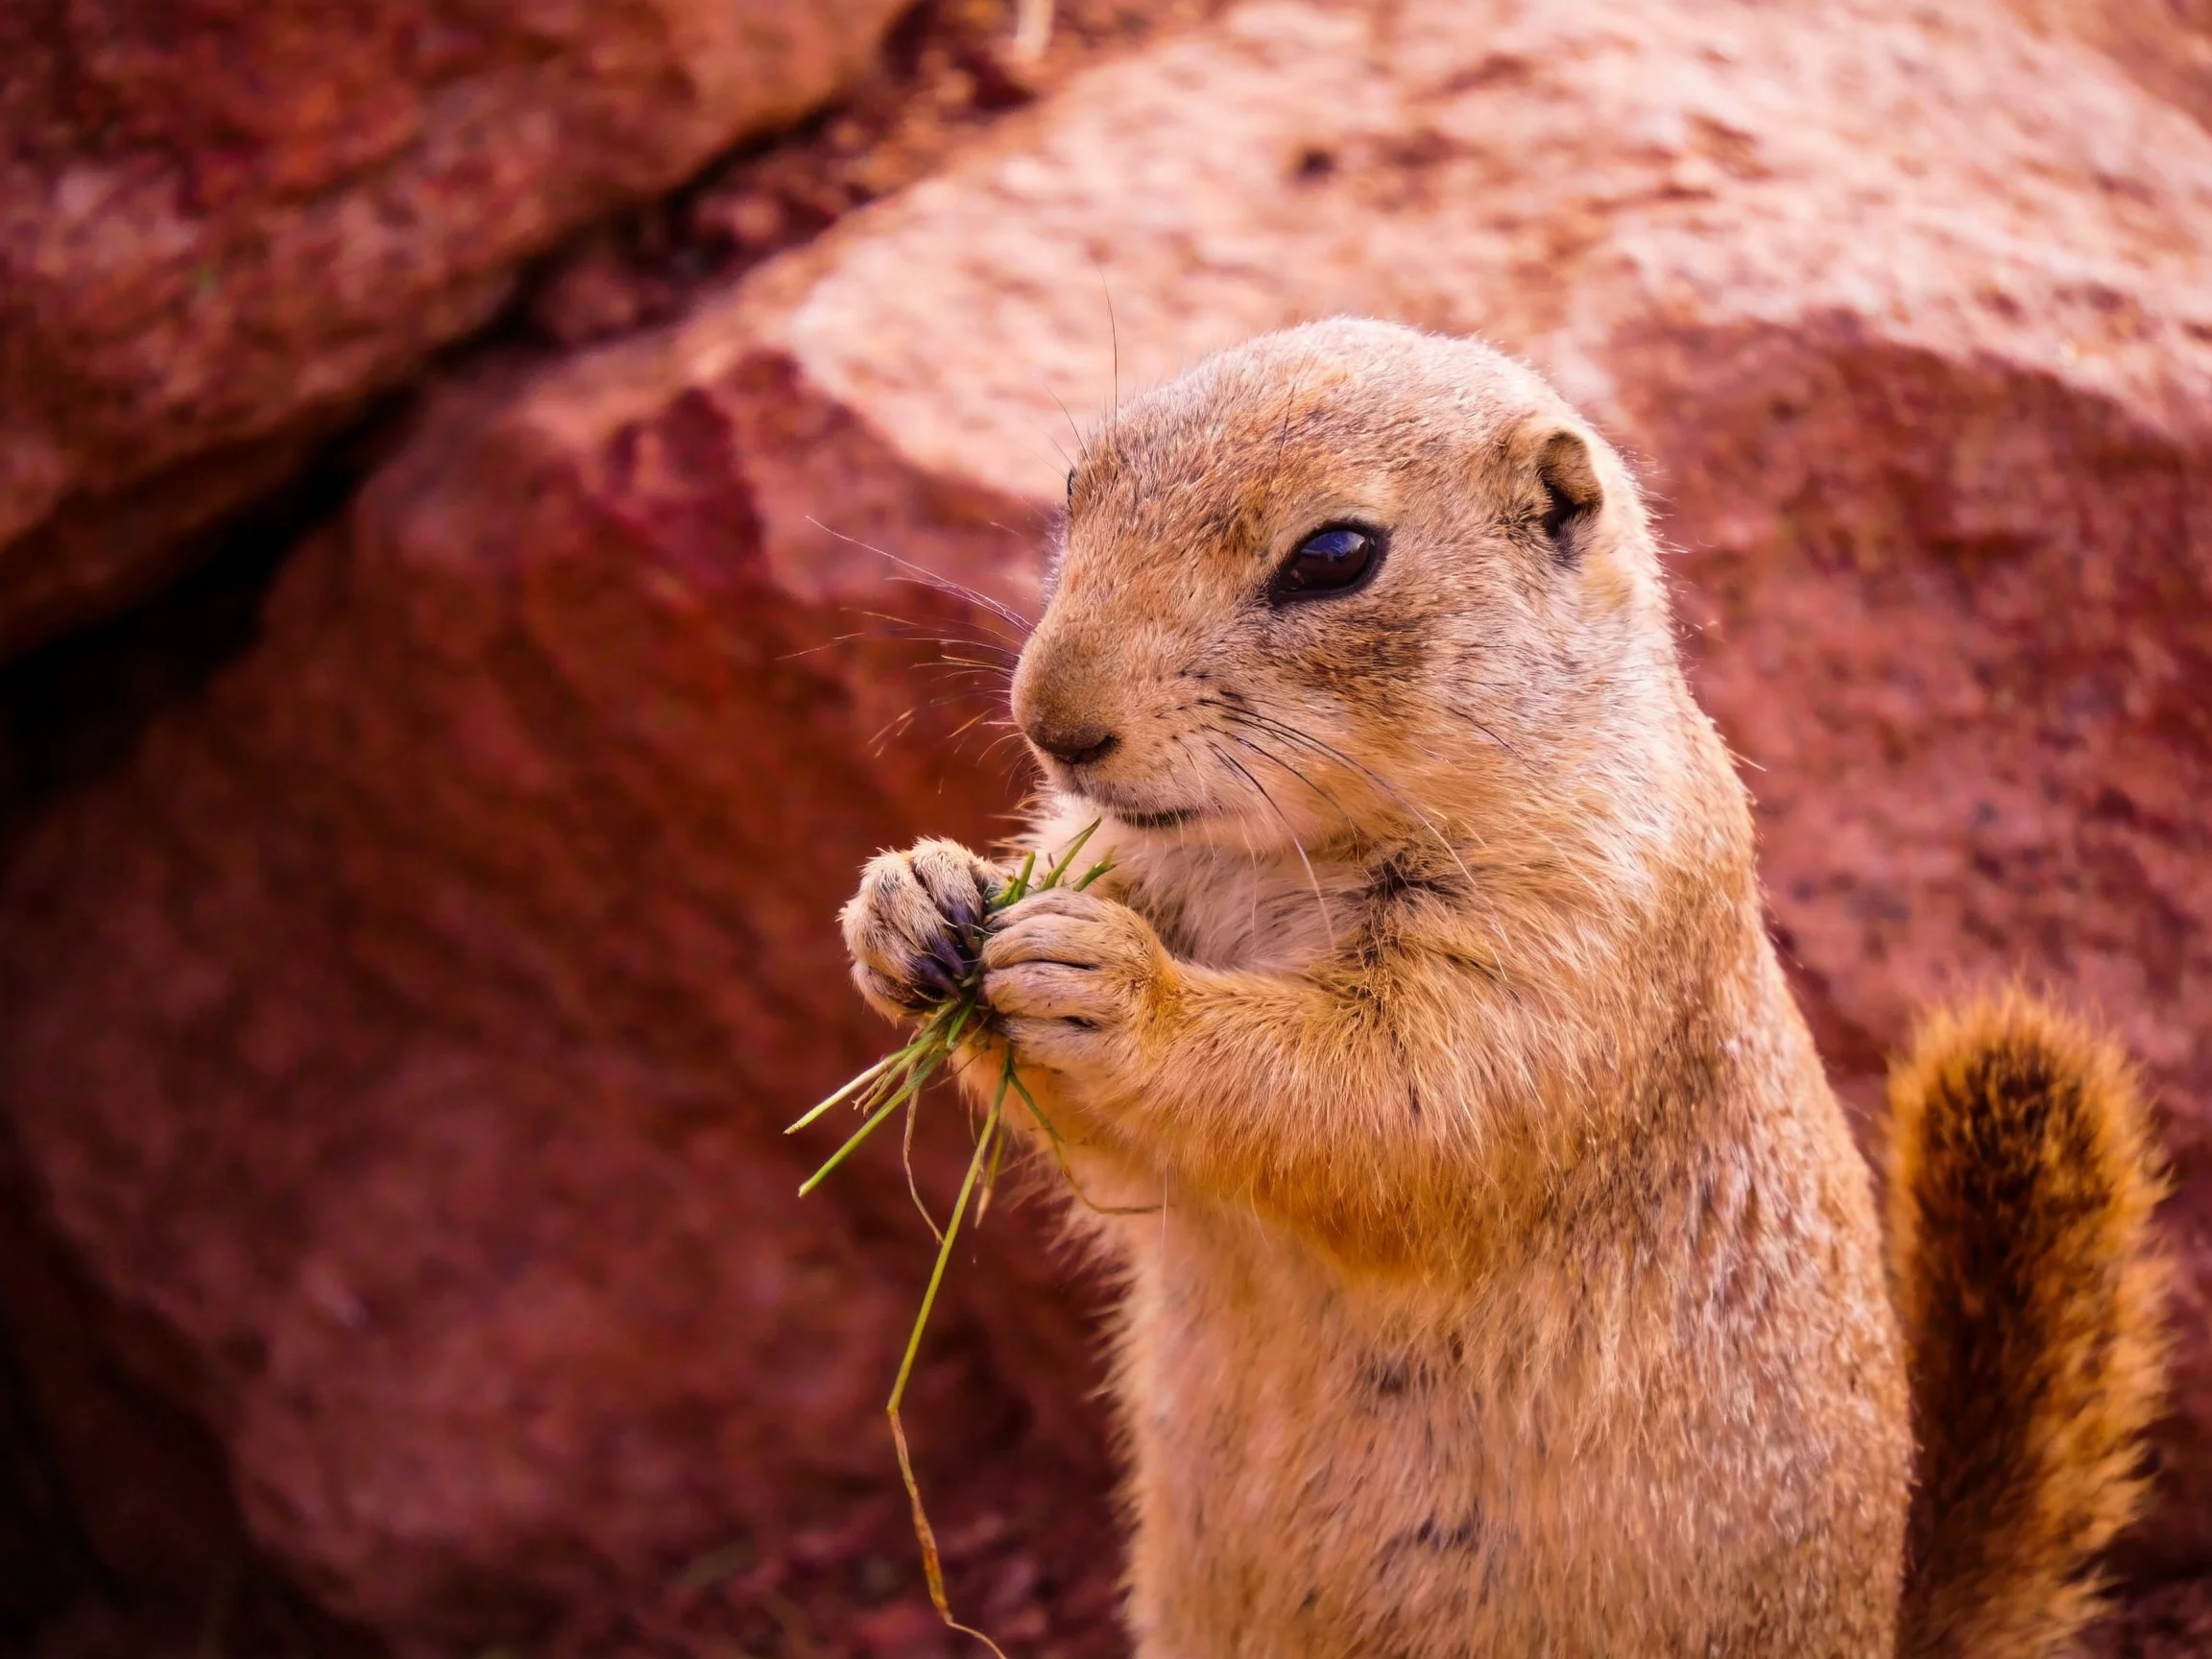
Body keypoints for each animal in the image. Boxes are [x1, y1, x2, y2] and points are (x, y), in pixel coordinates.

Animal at [838, 319, 2167, 1657]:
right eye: (1077, 484)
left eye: (1337, 555)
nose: (1051, 722)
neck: (1269, 862)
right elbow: (1120, 1162)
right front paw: (913, 902)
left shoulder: (1572, 939)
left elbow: (1391, 1100)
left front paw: (1107, 982)